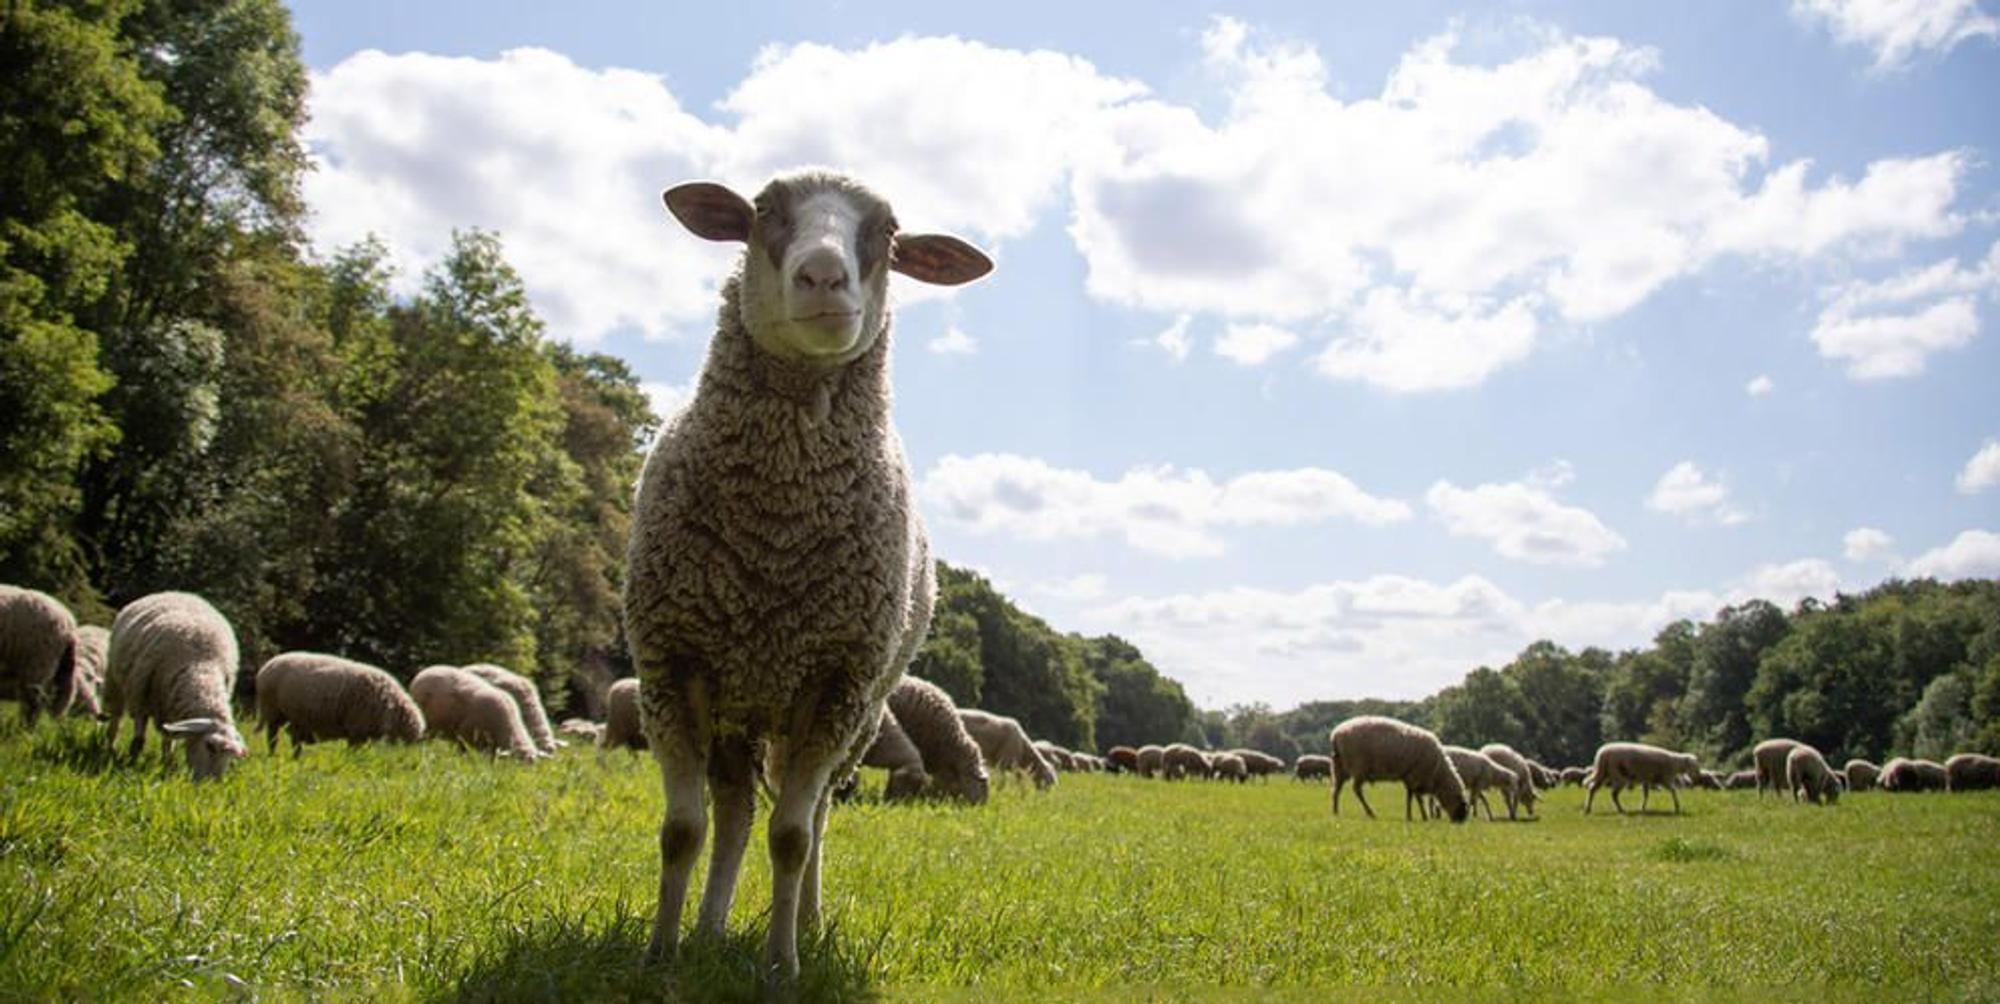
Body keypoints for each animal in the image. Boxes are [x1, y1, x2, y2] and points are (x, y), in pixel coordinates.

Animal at [101, 591, 248, 781]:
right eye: (209, 745)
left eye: (230, 757)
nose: (210, 783)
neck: (201, 666)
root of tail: (177, 592)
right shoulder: (141, 697)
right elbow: (138, 741)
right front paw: (130, 764)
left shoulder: (172, 707)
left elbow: (169, 742)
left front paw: (167, 765)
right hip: (114, 679)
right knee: (116, 716)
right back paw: (111, 746)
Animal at [254, 652, 425, 753]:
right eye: (407, 742)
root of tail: (266, 667)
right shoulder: (356, 730)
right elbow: (353, 753)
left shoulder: (361, 733)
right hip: (273, 711)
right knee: (272, 737)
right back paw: (272, 755)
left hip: (294, 718)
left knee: (294, 740)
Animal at [627, 170, 992, 977]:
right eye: (763, 210)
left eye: (890, 232)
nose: (823, 275)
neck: (776, 532)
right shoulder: (672, 666)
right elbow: (682, 830)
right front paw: (662, 955)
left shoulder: (834, 684)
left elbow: (792, 838)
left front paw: (781, 965)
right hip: (740, 702)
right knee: (734, 813)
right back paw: (710, 927)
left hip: (851, 717)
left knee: (817, 814)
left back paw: (808, 920)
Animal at [1329, 716, 1469, 823]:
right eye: (1462, 806)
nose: (1459, 822)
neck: (1438, 773)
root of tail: (1335, 734)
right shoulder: (1416, 776)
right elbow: (1417, 798)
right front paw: (1423, 817)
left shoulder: (1410, 777)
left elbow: (1410, 796)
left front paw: (1411, 816)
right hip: (1358, 766)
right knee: (1356, 790)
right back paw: (1370, 813)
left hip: (1339, 767)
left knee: (1336, 790)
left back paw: (1336, 812)